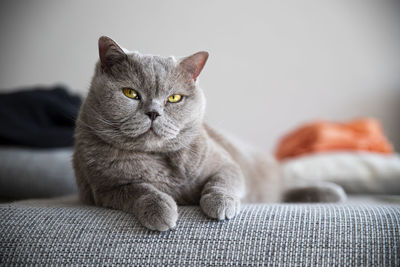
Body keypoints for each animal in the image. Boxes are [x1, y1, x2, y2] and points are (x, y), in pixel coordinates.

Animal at [72, 36, 346, 232]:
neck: (161, 159)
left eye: (174, 98)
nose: (153, 113)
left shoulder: (226, 164)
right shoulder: (105, 190)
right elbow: (141, 190)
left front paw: (221, 204)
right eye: (130, 93)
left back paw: (330, 192)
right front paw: (162, 211)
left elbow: (221, 182)